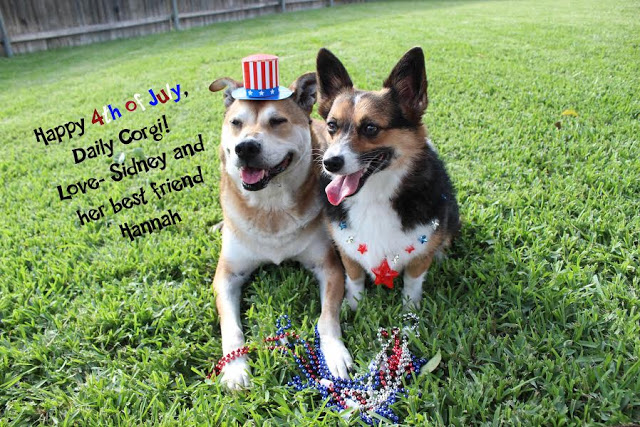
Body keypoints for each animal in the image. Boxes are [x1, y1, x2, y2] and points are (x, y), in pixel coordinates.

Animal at [209, 72, 352, 390]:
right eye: (236, 123)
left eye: (277, 121)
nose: (245, 147)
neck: (271, 207)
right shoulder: (227, 275)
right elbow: (231, 329)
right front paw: (235, 368)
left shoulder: (329, 266)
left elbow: (326, 318)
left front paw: (334, 354)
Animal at [314, 47, 460, 309]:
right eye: (331, 125)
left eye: (370, 128)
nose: (329, 163)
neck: (374, 196)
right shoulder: (346, 251)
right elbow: (354, 277)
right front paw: (354, 306)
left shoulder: (420, 257)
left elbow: (412, 282)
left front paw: (410, 312)